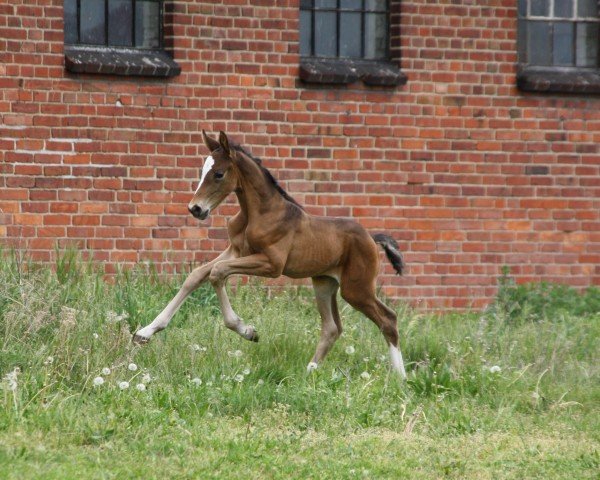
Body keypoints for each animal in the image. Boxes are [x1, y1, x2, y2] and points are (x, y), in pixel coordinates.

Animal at [135, 131, 408, 378]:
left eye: (219, 174)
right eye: (202, 172)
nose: (195, 209)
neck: (259, 213)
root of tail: (371, 237)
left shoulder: (272, 265)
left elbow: (217, 272)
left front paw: (246, 330)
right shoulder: (236, 250)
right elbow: (198, 274)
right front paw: (145, 332)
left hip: (356, 289)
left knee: (388, 319)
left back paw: (401, 379)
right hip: (324, 283)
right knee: (332, 328)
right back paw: (310, 371)